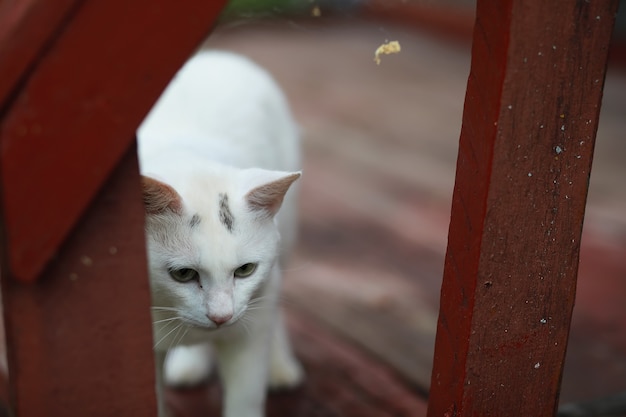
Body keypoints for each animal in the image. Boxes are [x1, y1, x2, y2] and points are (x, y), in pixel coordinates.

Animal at [136, 49, 302, 416]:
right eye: (182, 274)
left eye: (246, 270)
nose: (221, 316)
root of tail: (219, 54)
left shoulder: (251, 329)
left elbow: (245, 398)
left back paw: (280, 366)